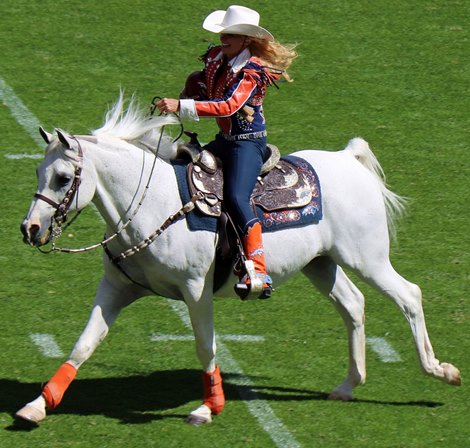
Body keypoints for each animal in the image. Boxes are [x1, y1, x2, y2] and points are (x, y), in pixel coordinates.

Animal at [17, 96, 458, 426]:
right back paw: (349, 385)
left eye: (62, 178)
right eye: (38, 171)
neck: (155, 204)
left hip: (368, 258)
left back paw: (440, 371)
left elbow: (205, 346)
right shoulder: (117, 288)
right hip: (321, 264)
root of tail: (348, 158)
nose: (30, 228)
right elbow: (83, 344)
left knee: (409, 295)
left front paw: (208, 408)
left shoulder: (196, 290)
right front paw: (38, 406)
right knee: (354, 305)